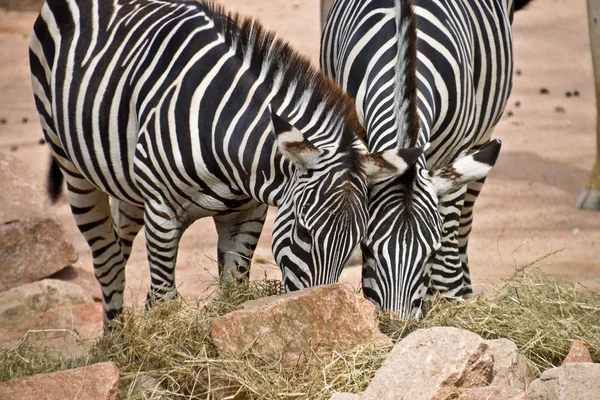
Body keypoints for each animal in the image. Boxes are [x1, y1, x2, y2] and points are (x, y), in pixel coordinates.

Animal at [28, 0, 422, 328]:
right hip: (72, 165)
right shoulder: (162, 211)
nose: (324, 316)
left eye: (358, 243)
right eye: (303, 232)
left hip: (127, 180)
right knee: (106, 258)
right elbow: (164, 299)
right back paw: (115, 343)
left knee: (119, 239)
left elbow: (233, 288)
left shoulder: (247, 215)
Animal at [322, 0, 532, 318]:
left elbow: (446, 251)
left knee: (463, 226)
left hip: (482, 141)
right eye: (367, 248)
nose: (397, 323)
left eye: (429, 252)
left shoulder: (455, 155)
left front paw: (449, 302)